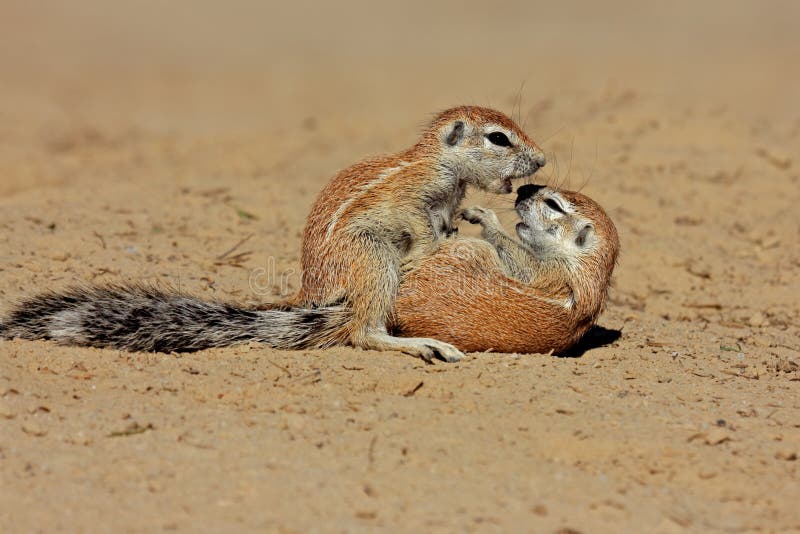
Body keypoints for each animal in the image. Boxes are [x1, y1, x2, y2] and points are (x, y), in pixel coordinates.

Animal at [0, 105, 548, 364]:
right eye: (498, 138)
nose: (541, 160)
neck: (444, 169)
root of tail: (310, 291)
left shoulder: (445, 202)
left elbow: (446, 221)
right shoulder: (411, 198)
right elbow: (419, 226)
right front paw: (442, 245)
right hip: (370, 258)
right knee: (363, 332)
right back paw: (423, 346)